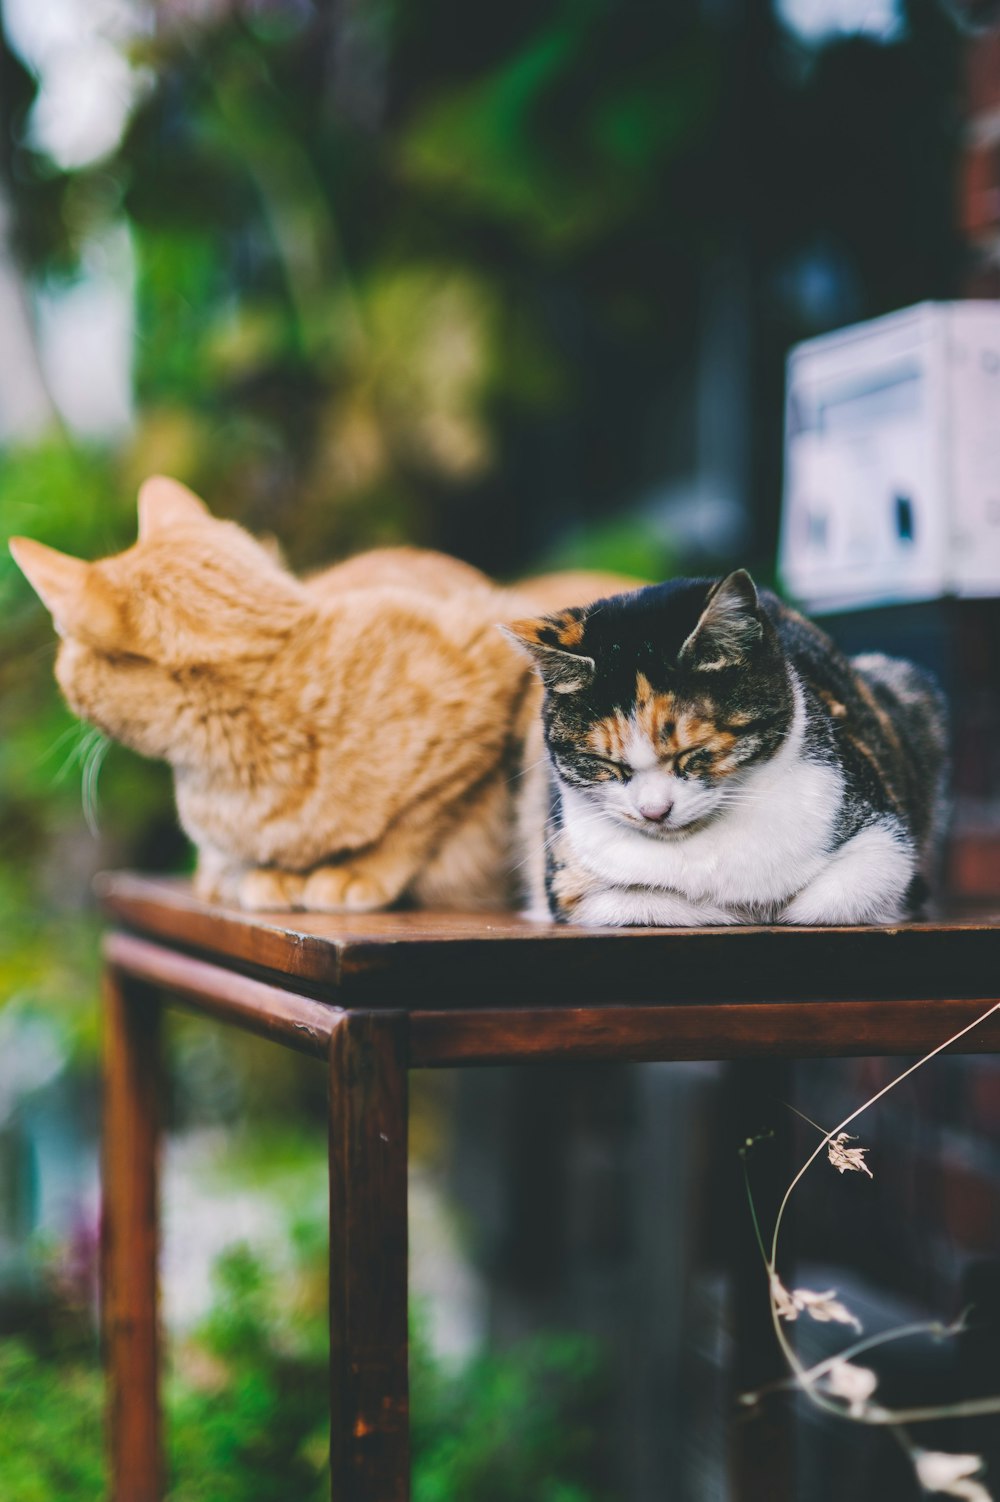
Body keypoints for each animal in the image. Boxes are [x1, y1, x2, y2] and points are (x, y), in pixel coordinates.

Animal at [501, 570, 948, 925]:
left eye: (693, 752)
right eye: (605, 764)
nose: (654, 812)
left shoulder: (886, 846)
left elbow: (831, 900)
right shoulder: (566, 884)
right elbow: (644, 900)